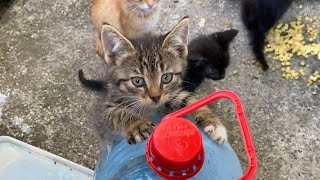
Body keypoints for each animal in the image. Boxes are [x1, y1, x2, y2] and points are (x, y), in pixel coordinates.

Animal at [79, 17, 228, 145]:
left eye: (166, 77)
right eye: (137, 81)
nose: (156, 97)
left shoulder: (172, 94)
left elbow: (190, 101)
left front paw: (213, 123)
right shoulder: (107, 106)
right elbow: (117, 114)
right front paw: (137, 124)